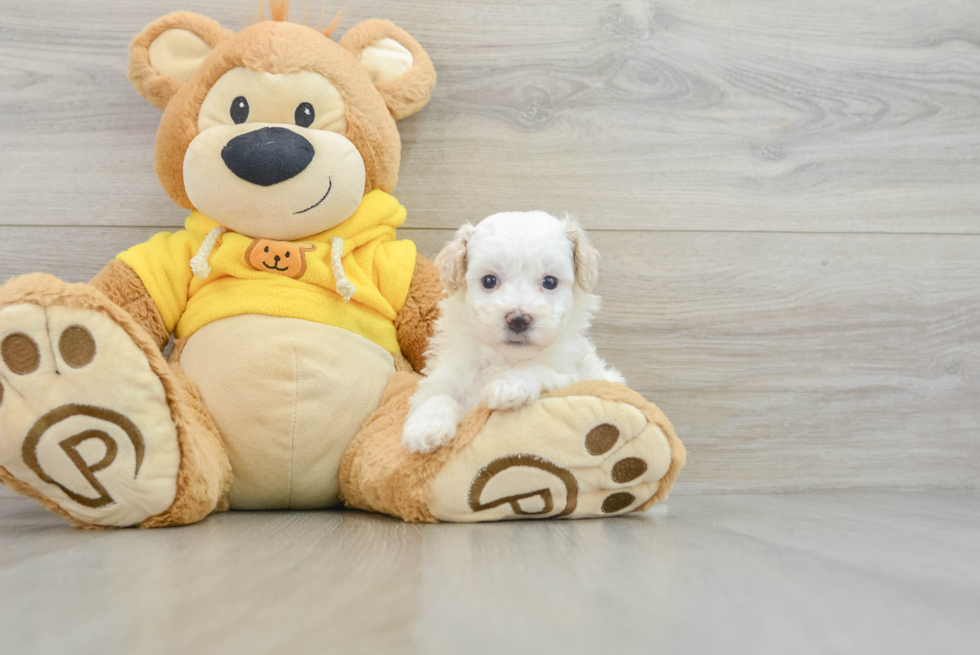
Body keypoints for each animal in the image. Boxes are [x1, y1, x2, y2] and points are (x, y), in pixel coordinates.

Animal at [402, 213, 624, 454]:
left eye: (550, 282)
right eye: (489, 281)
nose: (518, 320)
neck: (505, 356)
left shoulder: (574, 376)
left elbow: (538, 369)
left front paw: (507, 387)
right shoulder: (449, 372)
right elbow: (437, 395)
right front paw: (425, 427)